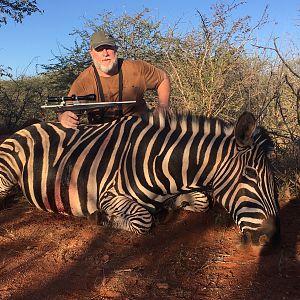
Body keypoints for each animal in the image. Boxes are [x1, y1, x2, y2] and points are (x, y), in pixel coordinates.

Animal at [0, 111, 278, 247]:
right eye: (250, 175)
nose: (271, 238)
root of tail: (30, 125)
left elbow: (202, 200)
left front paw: (171, 205)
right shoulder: (107, 195)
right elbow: (143, 220)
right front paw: (102, 219)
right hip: (6, 169)